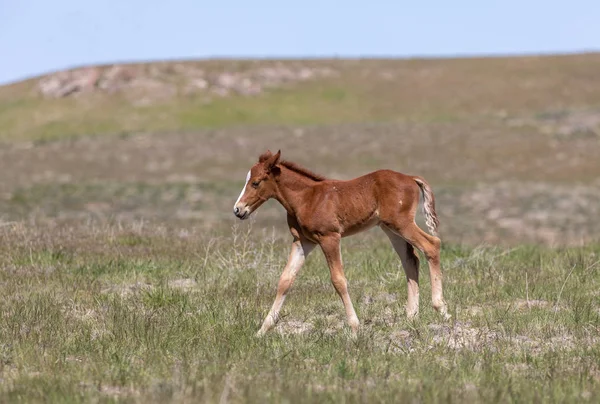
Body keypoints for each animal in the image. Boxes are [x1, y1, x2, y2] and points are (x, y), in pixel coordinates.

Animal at [232, 150, 448, 336]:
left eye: (255, 183)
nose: (238, 210)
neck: (306, 198)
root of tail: (410, 178)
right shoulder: (303, 241)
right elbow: (285, 280)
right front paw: (262, 330)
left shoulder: (330, 237)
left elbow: (338, 280)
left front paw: (354, 327)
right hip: (390, 228)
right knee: (410, 259)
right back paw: (412, 316)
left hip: (401, 223)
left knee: (432, 245)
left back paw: (441, 308)